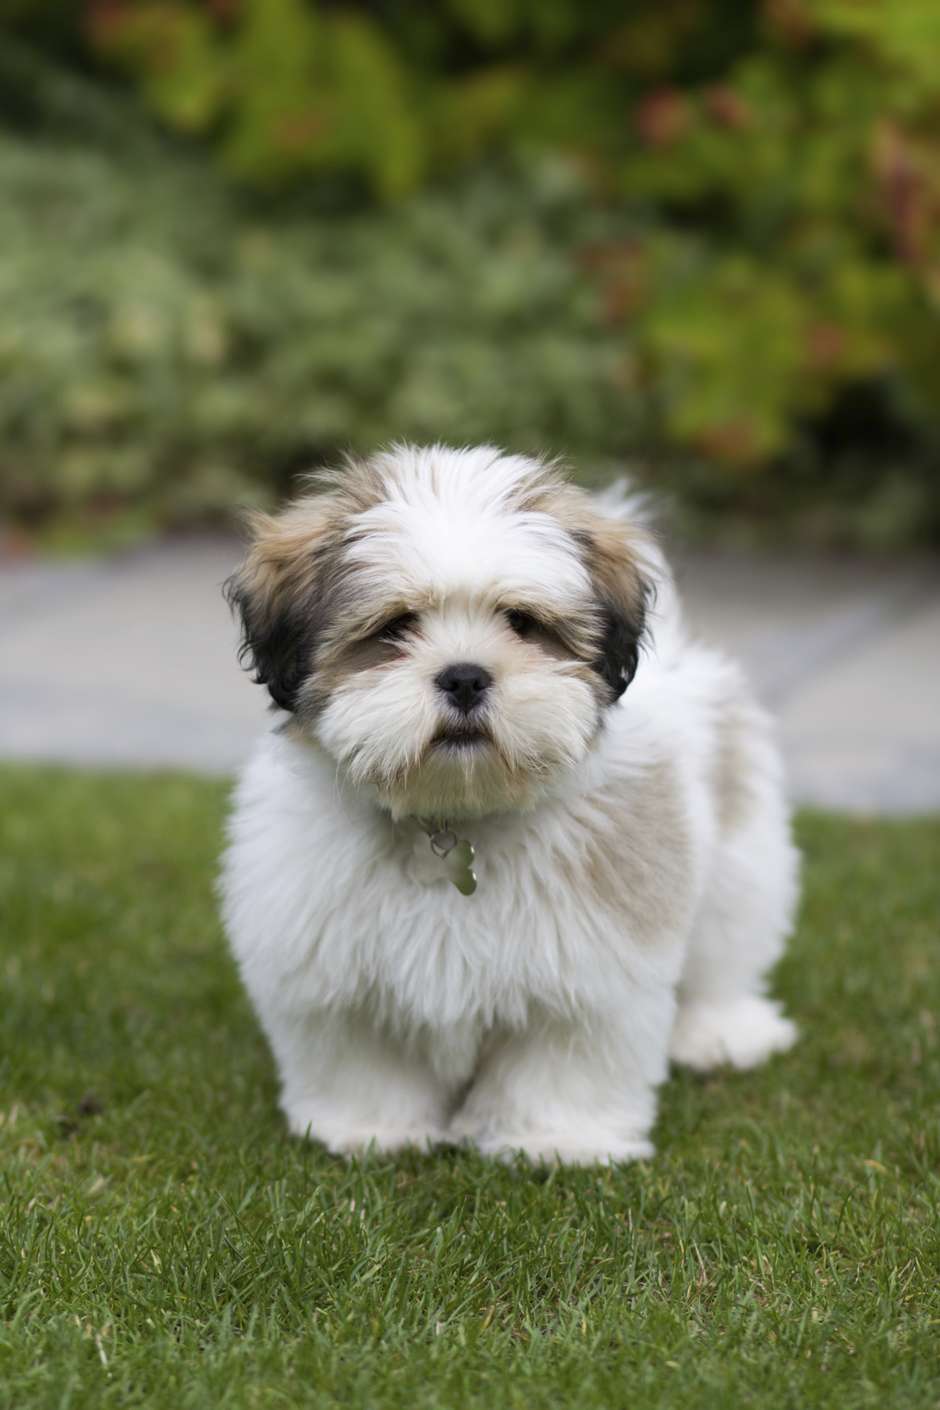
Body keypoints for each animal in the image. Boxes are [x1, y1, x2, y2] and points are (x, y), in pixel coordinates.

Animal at [218, 445, 794, 1161]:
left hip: (741, 859)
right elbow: (365, 1057)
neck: (453, 816)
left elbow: (562, 1060)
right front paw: (373, 1130)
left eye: (522, 623)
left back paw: (721, 1032)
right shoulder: (331, 972)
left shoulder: (590, 967)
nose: (465, 677)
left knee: (726, 948)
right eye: (395, 626)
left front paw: (556, 1140)